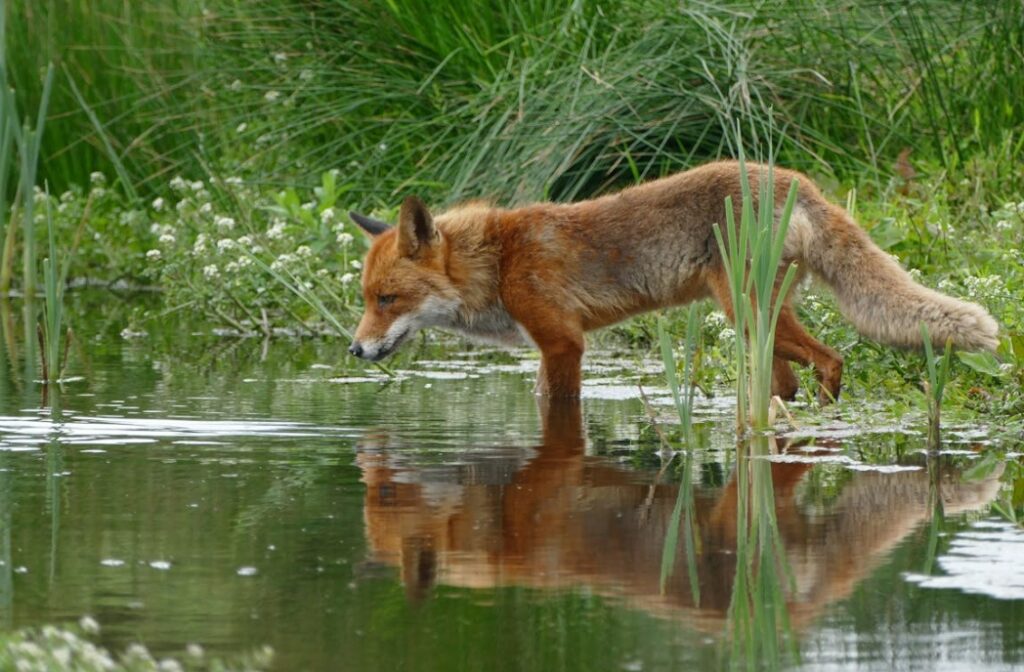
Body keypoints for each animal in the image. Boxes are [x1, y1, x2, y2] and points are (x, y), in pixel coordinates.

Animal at [350, 159, 999, 401]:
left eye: (389, 299)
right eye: (366, 300)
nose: (354, 350)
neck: (499, 260)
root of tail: (796, 180)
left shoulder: (563, 343)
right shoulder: (551, 346)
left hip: (747, 313)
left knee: (833, 359)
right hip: (759, 326)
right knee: (788, 382)